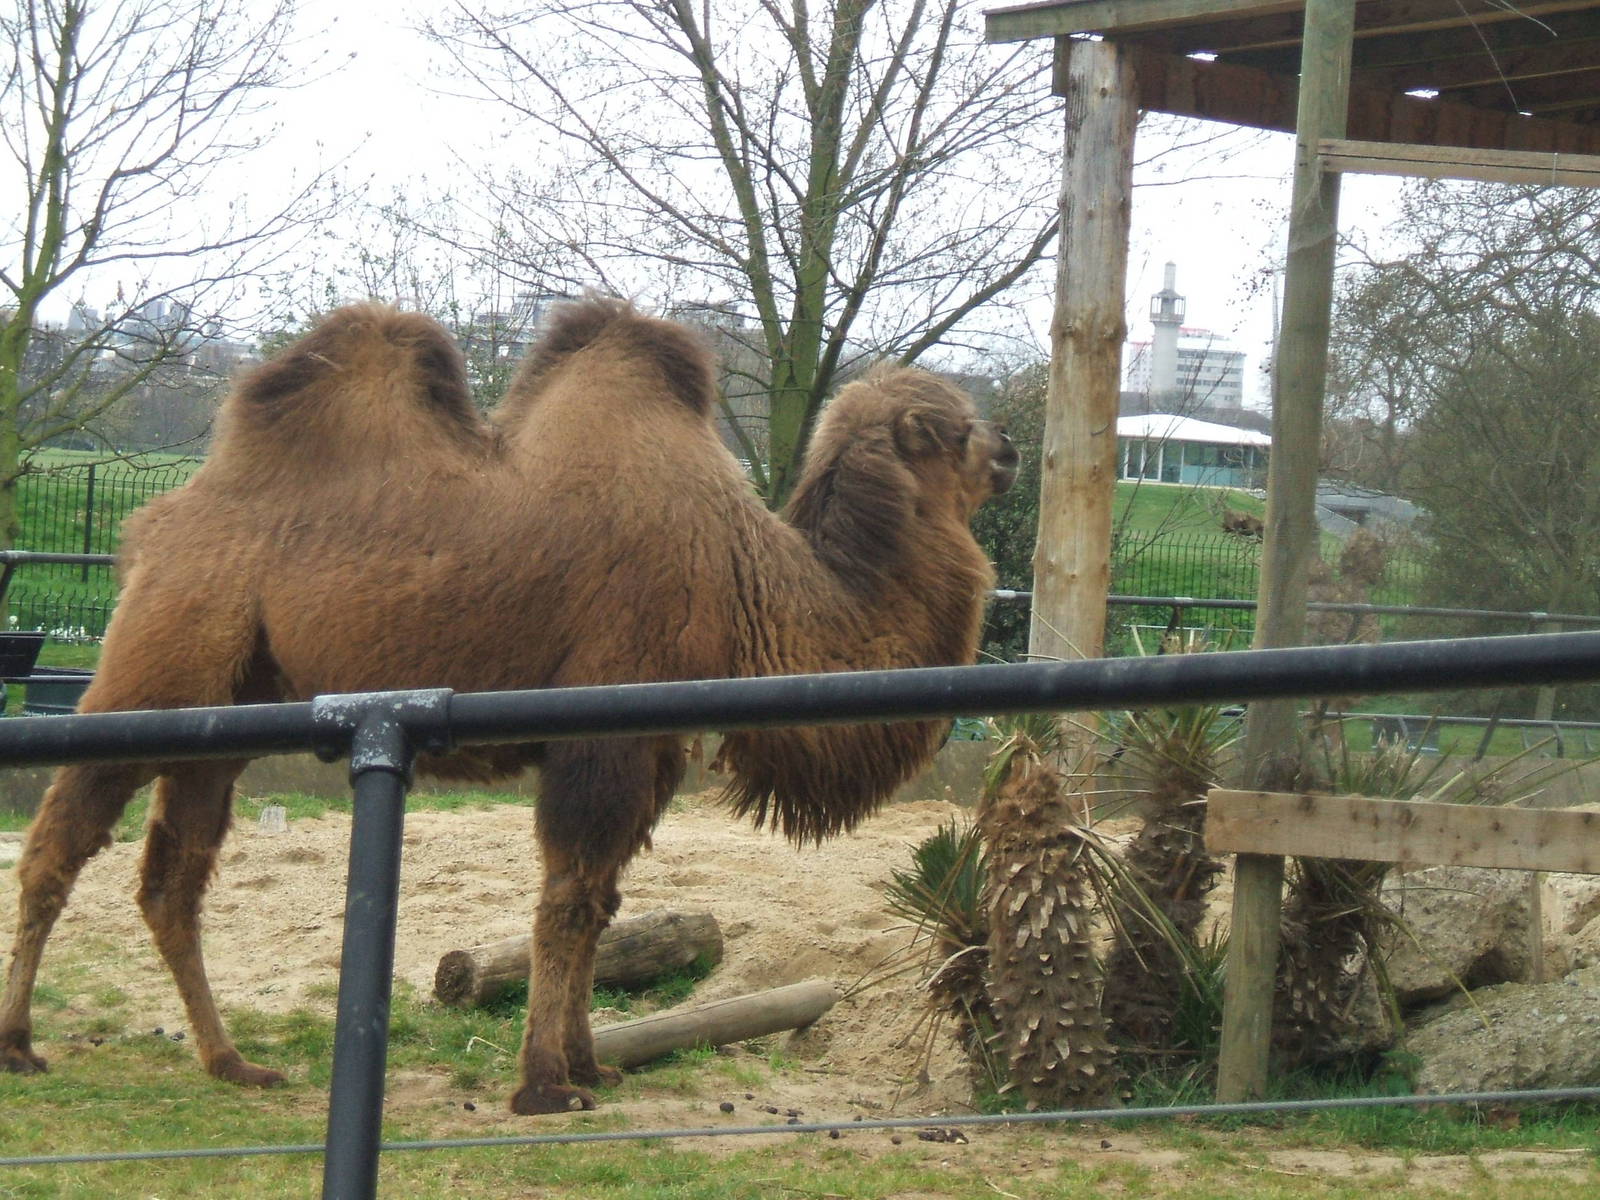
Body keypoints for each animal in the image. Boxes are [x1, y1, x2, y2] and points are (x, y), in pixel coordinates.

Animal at [0, 298, 1018, 1115]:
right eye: (958, 428)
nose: (1012, 448)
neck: (747, 581)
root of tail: (151, 529)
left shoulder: (649, 745)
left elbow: (602, 902)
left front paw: (591, 1066)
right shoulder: (601, 734)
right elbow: (567, 901)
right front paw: (545, 1086)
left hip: (226, 717)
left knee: (172, 880)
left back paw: (232, 1063)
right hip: (160, 663)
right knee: (58, 841)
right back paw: (20, 1045)